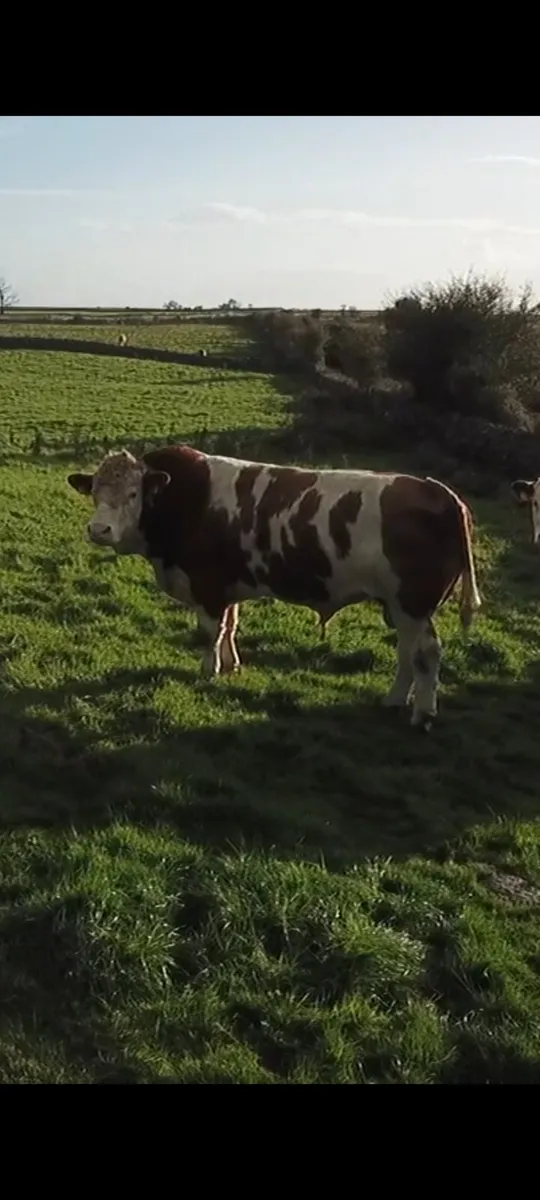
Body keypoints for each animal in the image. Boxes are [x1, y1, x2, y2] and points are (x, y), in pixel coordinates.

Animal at [67, 446, 482, 730]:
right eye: (95, 491)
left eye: (133, 494)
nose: (98, 530)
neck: (187, 499)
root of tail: (437, 491)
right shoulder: (229, 584)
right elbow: (231, 626)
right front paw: (231, 664)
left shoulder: (208, 584)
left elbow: (211, 631)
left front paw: (209, 670)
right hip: (402, 606)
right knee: (408, 652)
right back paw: (396, 700)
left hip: (413, 603)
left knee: (426, 653)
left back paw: (421, 713)